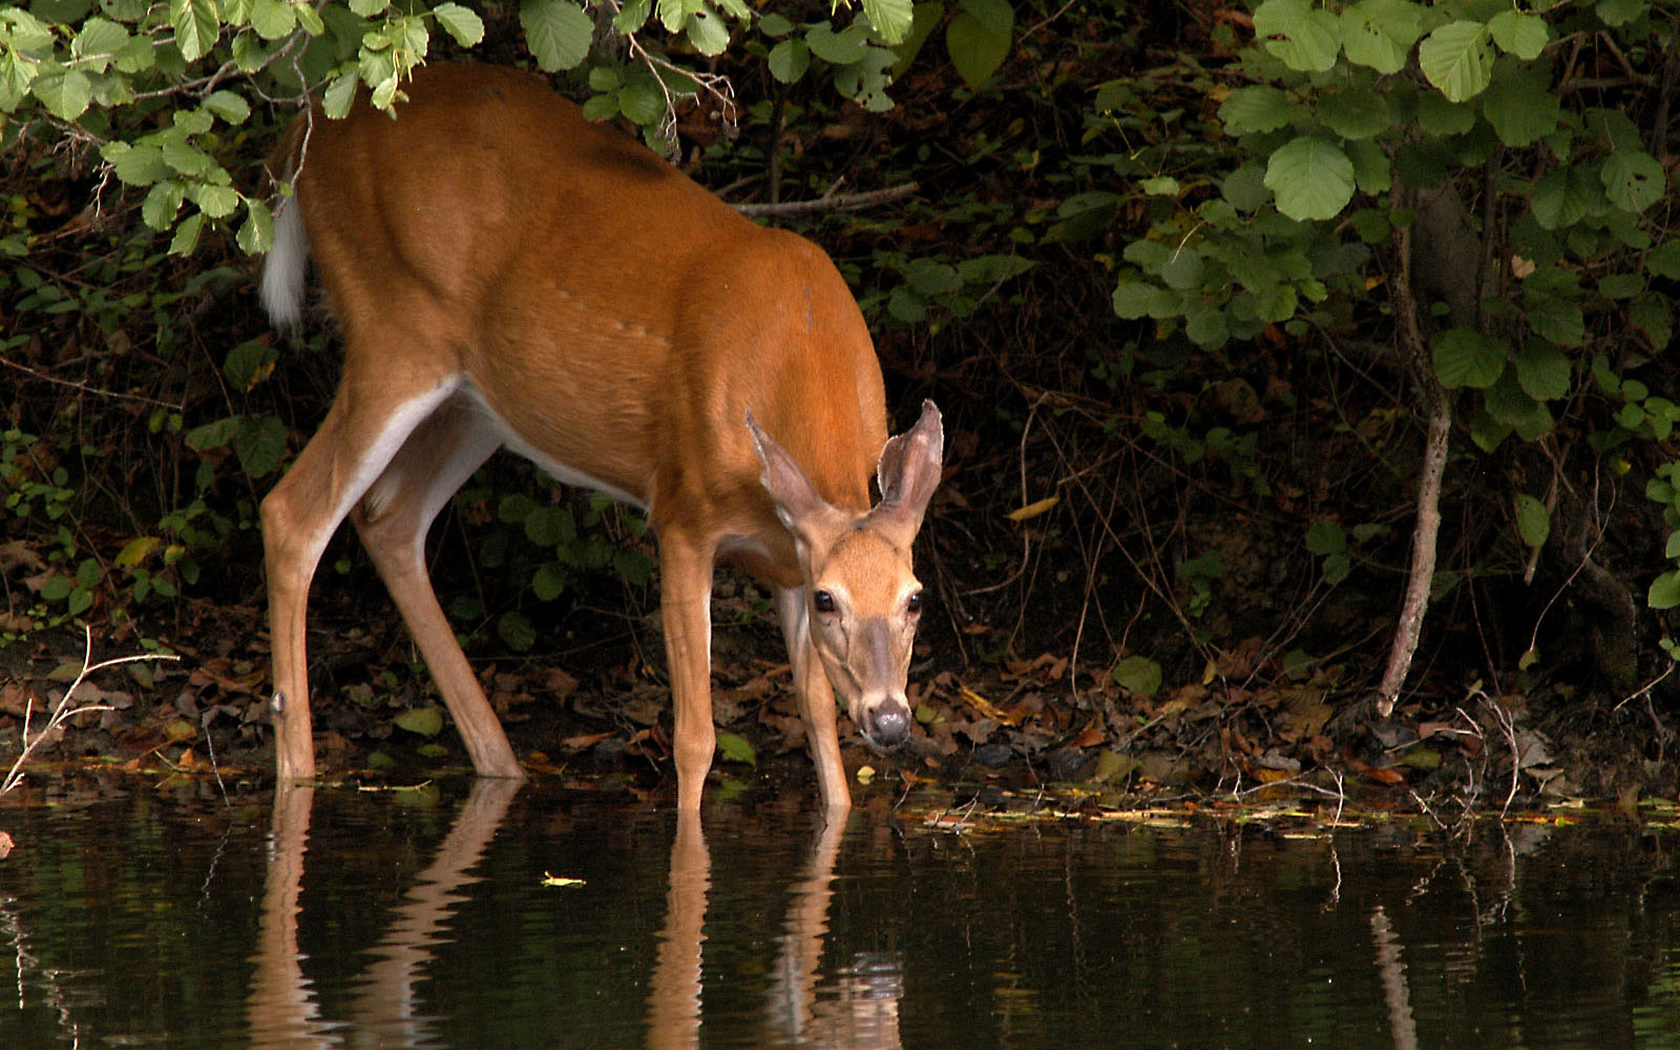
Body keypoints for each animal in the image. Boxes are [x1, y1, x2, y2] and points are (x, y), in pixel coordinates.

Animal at [262, 61, 947, 809]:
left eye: (915, 599)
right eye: (831, 600)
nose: (891, 719)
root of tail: (304, 130)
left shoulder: (789, 551)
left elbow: (819, 724)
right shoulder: (682, 512)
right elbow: (695, 739)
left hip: (476, 403)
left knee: (389, 517)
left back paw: (502, 764)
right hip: (392, 334)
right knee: (292, 514)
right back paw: (295, 777)